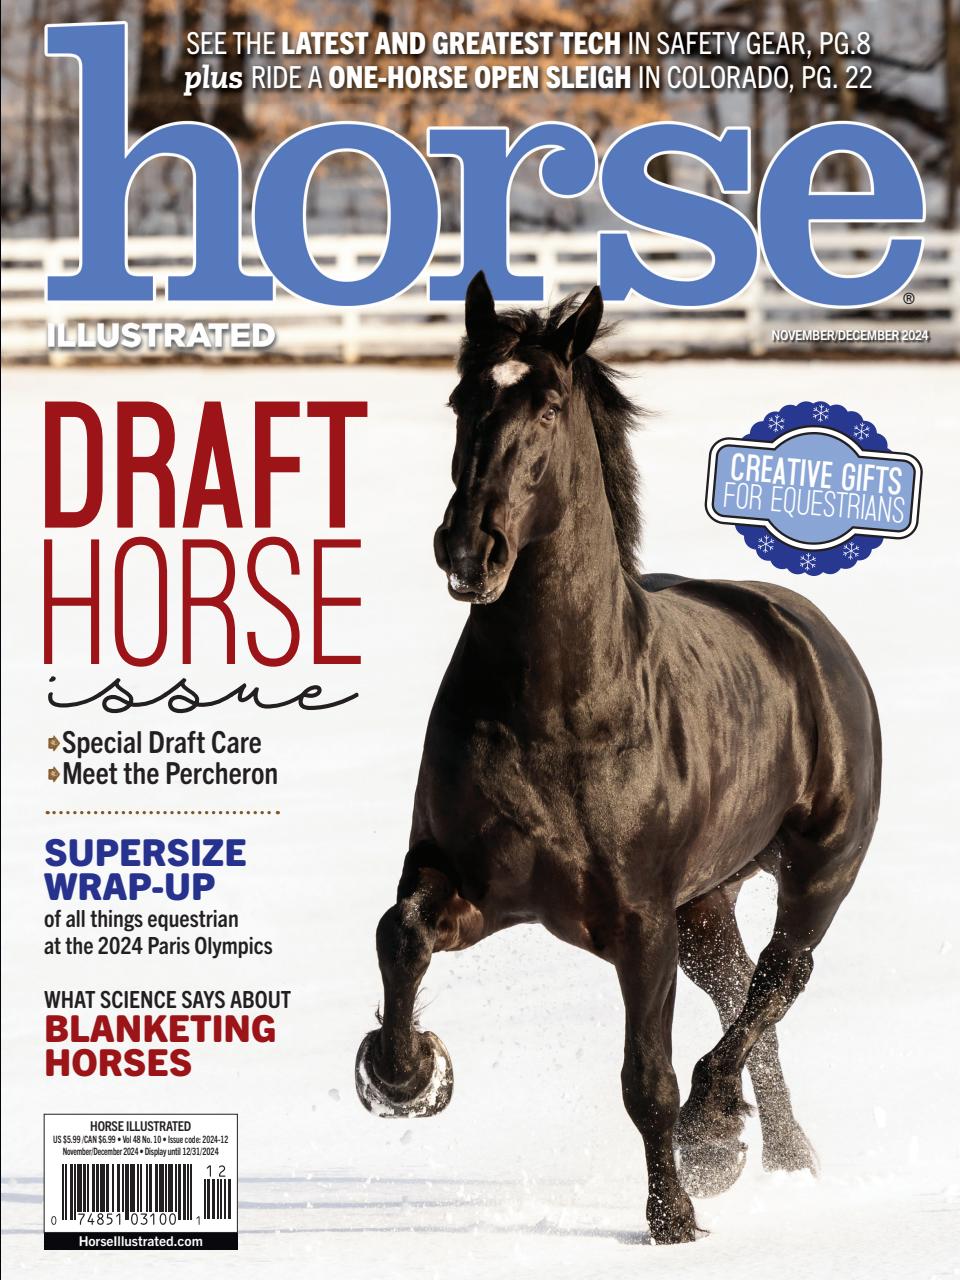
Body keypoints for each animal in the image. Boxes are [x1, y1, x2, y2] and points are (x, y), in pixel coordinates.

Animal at [355, 272, 881, 1244]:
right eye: (462, 397)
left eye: (548, 405)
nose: (469, 549)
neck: (557, 711)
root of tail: (804, 627)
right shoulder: (471, 885)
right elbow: (399, 934)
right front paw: (405, 1076)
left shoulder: (640, 924)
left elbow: (649, 1082)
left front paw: (672, 1217)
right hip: (706, 905)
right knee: (744, 992)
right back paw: (782, 1153)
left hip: (817, 873)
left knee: (780, 978)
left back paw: (719, 1134)